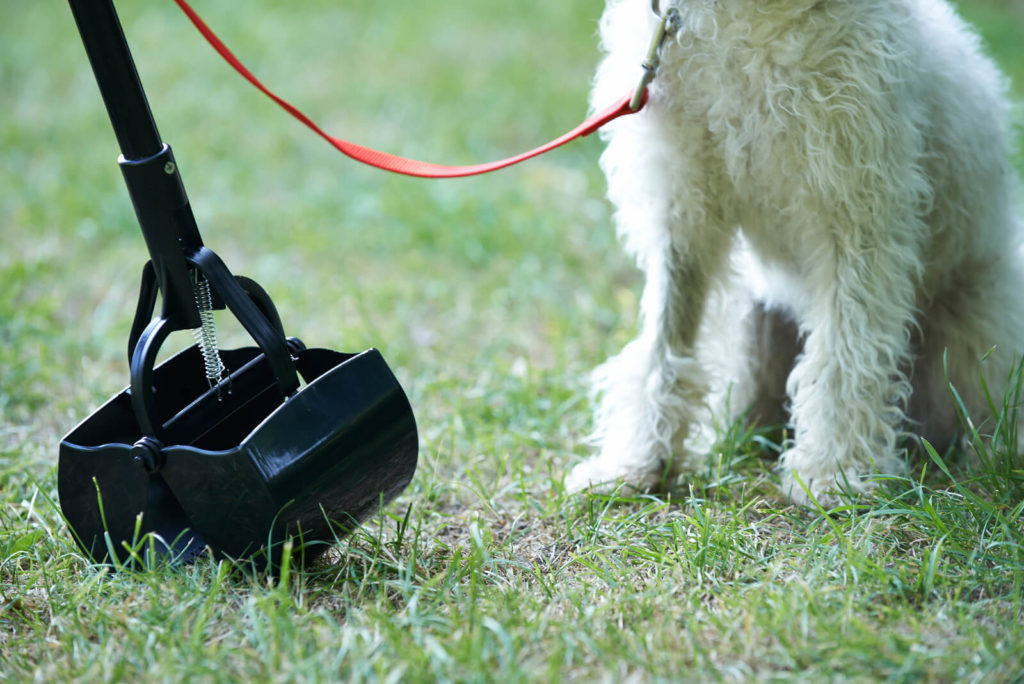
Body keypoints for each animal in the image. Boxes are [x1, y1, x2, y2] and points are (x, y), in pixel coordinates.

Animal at [569, 0, 1024, 505]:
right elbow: (665, 346)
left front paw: (834, 472)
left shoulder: (855, 213)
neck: (749, 20)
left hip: (978, 334)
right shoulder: (683, 208)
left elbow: (844, 355)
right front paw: (639, 461)